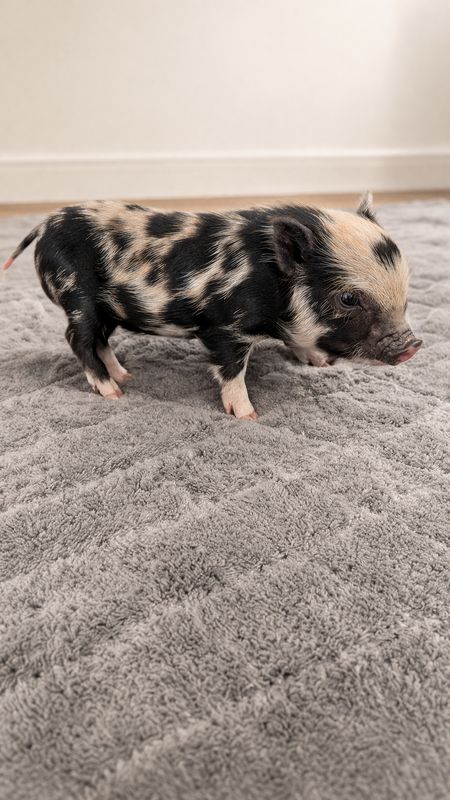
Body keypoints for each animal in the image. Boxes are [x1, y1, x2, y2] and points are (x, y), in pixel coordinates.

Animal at [2, 193, 422, 418]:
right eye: (348, 298)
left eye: (406, 282)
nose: (413, 346)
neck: (265, 280)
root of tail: (45, 224)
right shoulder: (225, 327)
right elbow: (232, 370)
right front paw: (249, 416)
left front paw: (318, 363)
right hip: (78, 296)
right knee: (77, 339)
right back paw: (114, 392)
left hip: (108, 307)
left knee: (100, 340)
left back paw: (126, 377)